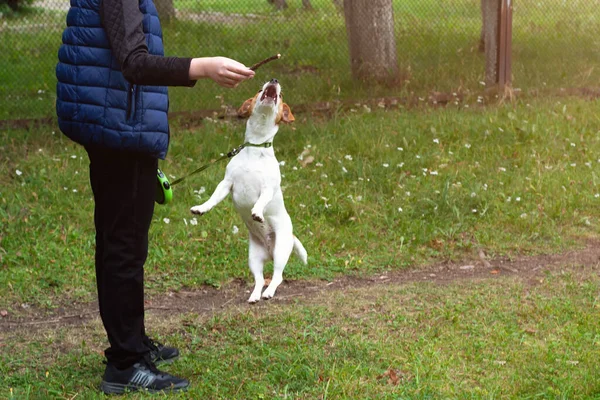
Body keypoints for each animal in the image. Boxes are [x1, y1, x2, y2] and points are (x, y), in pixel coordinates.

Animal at [190, 78, 308, 304]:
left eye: (281, 96)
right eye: (259, 88)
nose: (274, 80)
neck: (255, 147)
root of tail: (270, 252)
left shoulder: (267, 188)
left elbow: (261, 201)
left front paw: (257, 212)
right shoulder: (226, 183)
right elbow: (213, 199)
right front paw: (201, 208)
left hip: (281, 251)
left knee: (277, 276)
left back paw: (269, 292)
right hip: (253, 258)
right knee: (260, 279)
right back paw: (255, 295)